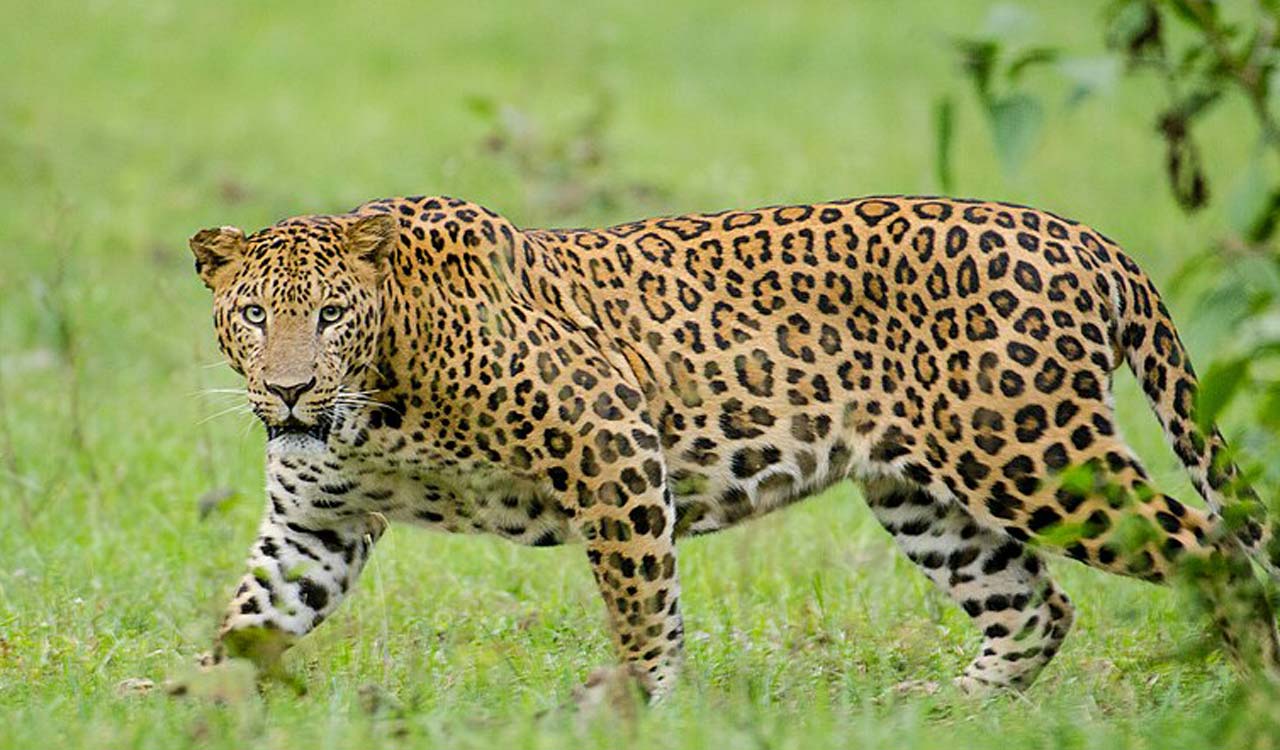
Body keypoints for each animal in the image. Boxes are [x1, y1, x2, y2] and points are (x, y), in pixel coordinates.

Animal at [189, 194, 1280, 703]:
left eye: (331, 316)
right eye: (254, 314)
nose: (289, 389)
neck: (374, 402)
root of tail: (1086, 238)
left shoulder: (610, 438)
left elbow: (641, 603)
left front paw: (633, 705)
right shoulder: (316, 523)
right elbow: (252, 617)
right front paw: (186, 704)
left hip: (1033, 456)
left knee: (1215, 555)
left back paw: (1251, 694)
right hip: (924, 494)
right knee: (1035, 607)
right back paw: (944, 710)